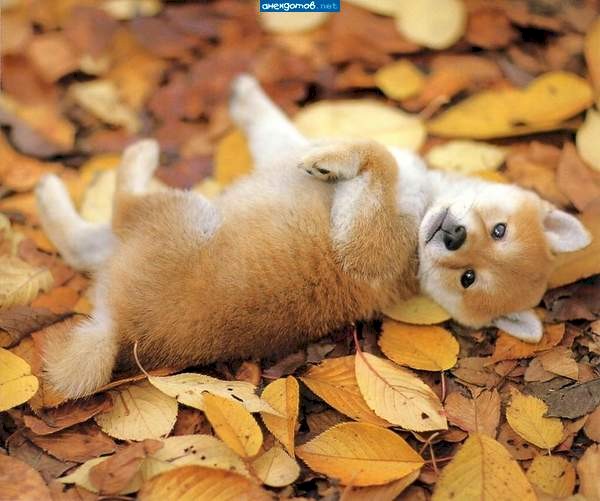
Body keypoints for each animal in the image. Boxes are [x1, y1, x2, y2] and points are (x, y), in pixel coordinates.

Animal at [36, 75, 591, 399]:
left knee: (112, 214)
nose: (452, 235)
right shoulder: (289, 148)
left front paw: (334, 162)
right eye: (499, 231)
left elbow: (377, 159)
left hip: (180, 217)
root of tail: (121, 330)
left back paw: (124, 163)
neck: (419, 214)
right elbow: (281, 130)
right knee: (88, 245)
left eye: (469, 279)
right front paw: (250, 100)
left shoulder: (366, 248)